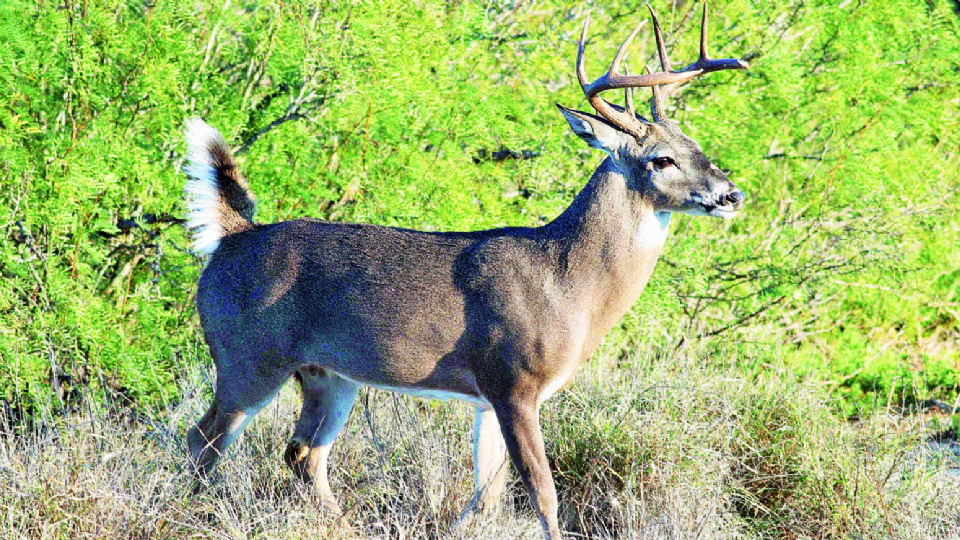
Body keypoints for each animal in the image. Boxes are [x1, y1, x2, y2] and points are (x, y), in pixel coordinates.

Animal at [182, 2, 752, 536]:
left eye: (698, 147)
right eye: (662, 159)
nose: (732, 194)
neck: (567, 282)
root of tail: (232, 236)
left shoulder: (486, 398)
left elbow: (486, 496)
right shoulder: (513, 380)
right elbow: (541, 493)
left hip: (331, 374)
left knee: (303, 454)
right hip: (249, 355)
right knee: (203, 438)